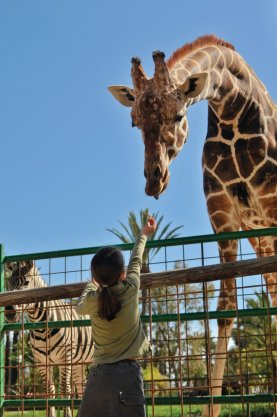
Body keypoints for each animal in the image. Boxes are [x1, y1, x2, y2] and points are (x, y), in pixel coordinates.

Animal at [4, 260, 93, 416]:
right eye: (9, 283)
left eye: (26, 283)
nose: (9, 312)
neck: (41, 328)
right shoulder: (41, 362)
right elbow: (49, 392)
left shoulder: (65, 357)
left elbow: (64, 390)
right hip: (78, 363)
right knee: (82, 386)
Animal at [108, 35, 276, 416]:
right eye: (134, 122)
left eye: (179, 115)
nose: (154, 182)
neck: (233, 111)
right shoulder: (222, 214)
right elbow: (225, 308)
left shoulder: (272, 203)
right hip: (260, 238)